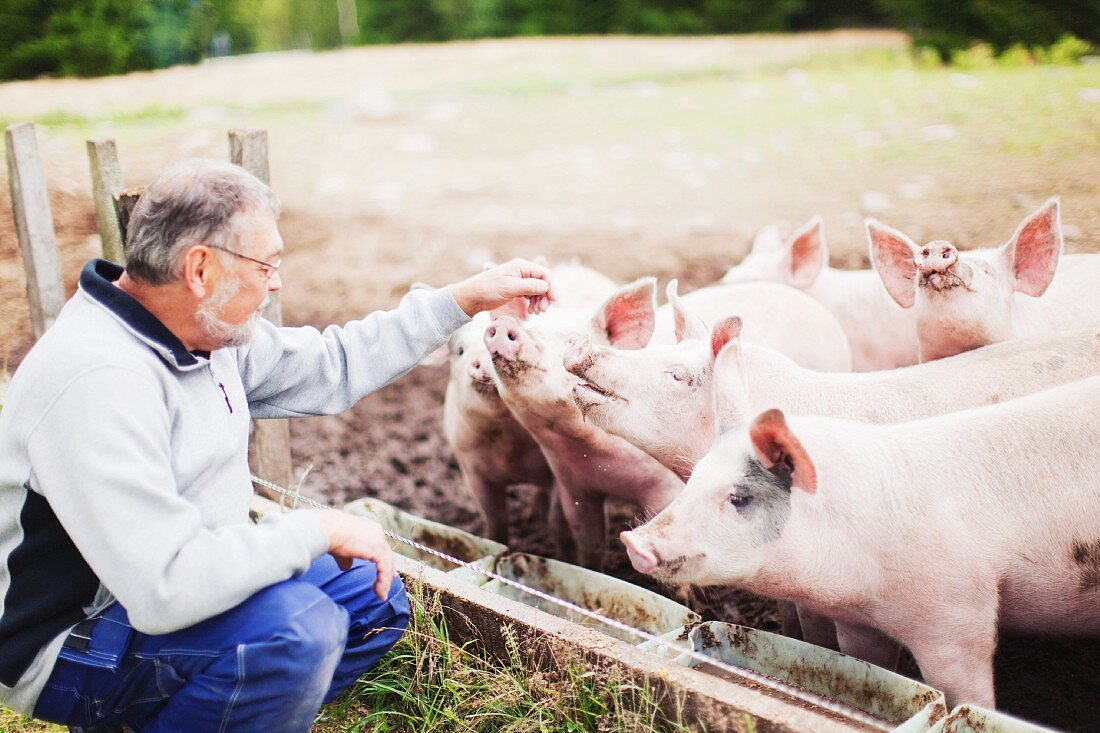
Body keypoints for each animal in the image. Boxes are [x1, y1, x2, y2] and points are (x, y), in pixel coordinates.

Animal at [620, 376, 1100, 704]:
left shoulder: (960, 617)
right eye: (694, 478)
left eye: (738, 497)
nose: (633, 540)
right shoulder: (859, 625)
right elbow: (871, 667)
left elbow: (967, 696)